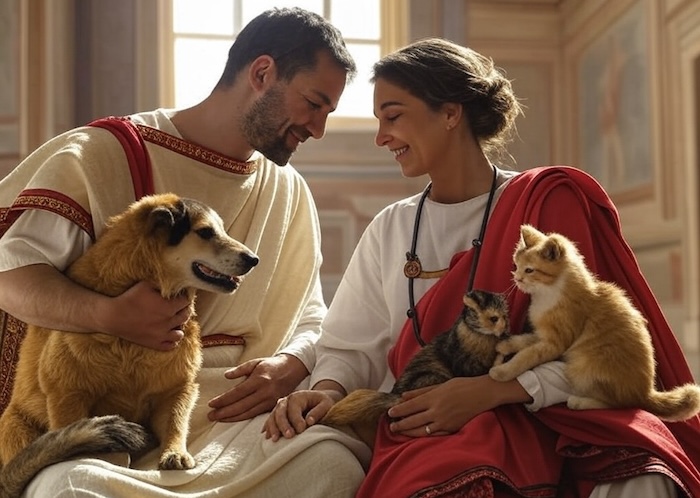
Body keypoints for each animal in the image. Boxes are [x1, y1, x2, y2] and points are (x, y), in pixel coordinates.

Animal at [0, 193, 258, 496]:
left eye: (223, 230)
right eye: (205, 232)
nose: (254, 259)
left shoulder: (176, 390)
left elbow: (175, 422)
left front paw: (174, 452)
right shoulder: (67, 394)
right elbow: (77, 435)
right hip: (15, 428)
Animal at [322, 290, 508, 446]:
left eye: (506, 317)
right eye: (493, 318)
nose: (504, 331)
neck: (481, 339)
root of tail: (395, 396)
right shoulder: (464, 364)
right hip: (433, 377)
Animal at [490, 224, 700, 422]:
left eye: (529, 270)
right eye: (516, 266)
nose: (517, 278)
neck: (548, 292)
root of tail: (645, 392)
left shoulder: (556, 342)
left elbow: (526, 356)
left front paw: (501, 372)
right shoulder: (544, 335)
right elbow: (525, 340)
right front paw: (505, 345)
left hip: (583, 367)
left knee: (622, 405)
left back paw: (580, 402)